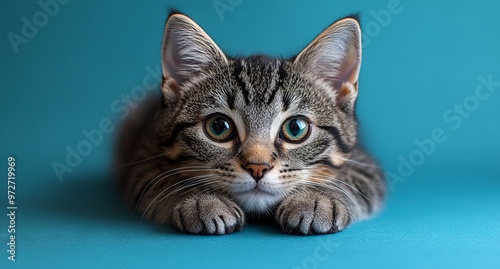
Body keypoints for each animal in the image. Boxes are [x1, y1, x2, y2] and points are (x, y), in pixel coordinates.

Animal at [114, 11, 386, 233]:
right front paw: (202, 200)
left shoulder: (365, 165)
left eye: (295, 128)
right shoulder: (143, 159)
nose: (257, 167)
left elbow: (349, 180)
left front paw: (316, 200)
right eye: (218, 127)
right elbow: (166, 179)